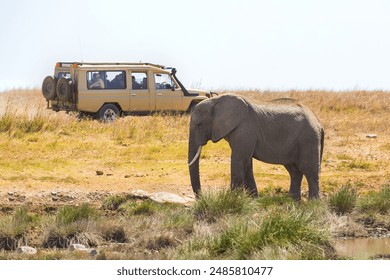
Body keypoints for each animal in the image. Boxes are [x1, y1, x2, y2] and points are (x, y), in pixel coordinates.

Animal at [187, 94, 324, 201]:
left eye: (199, 124)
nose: (201, 199)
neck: (216, 100)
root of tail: (319, 123)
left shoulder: (245, 129)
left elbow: (239, 160)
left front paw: (233, 199)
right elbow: (247, 163)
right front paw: (253, 199)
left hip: (308, 139)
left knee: (310, 171)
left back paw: (313, 204)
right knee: (294, 171)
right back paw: (293, 201)